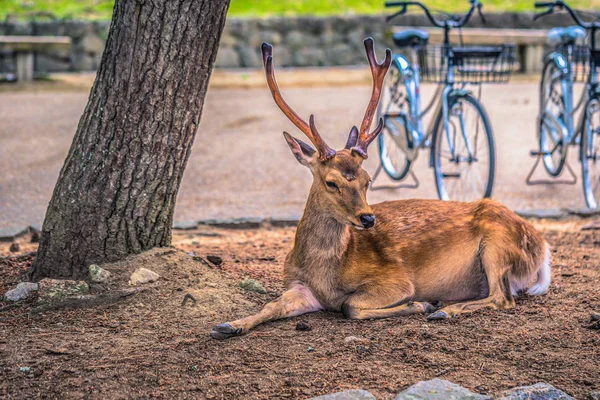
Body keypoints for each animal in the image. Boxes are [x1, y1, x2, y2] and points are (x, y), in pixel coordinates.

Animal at [209, 37, 552, 340]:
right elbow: (271, 305)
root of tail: (542, 249)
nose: (368, 218)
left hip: (497, 245)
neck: (325, 273)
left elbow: (350, 305)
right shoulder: (298, 286)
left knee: (503, 298)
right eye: (331, 182)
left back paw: (443, 309)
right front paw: (227, 326)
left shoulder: (396, 280)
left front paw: (420, 304)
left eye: (367, 179)